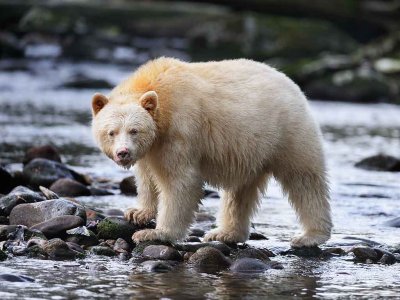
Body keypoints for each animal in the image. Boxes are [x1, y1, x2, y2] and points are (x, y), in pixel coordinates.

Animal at [92, 57, 332, 247]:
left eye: (134, 130)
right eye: (111, 132)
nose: (123, 152)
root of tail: (291, 84)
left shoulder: (179, 132)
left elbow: (179, 182)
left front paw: (155, 233)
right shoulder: (152, 147)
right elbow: (146, 176)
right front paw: (138, 212)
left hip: (287, 133)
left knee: (303, 180)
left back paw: (310, 235)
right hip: (249, 150)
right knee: (239, 192)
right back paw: (226, 233)